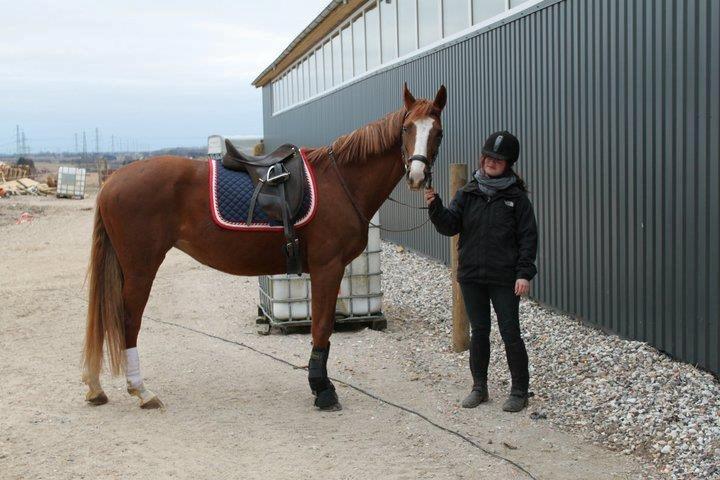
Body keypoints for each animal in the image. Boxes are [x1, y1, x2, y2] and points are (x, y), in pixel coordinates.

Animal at [81, 81, 448, 408]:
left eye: (438, 132)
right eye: (406, 128)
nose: (417, 177)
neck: (340, 182)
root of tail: (113, 181)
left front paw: (320, 384)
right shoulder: (327, 267)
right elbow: (321, 328)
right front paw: (322, 389)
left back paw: (95, 387)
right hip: (141, 267)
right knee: (127, 319)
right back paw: (141, 391)